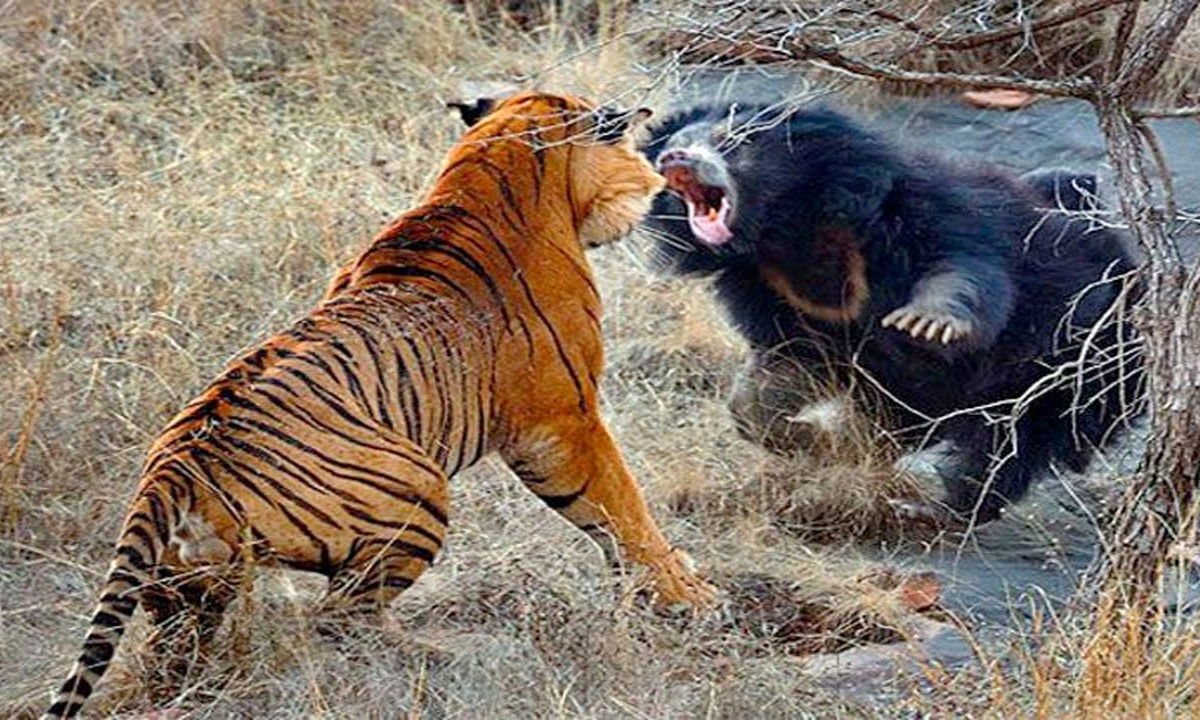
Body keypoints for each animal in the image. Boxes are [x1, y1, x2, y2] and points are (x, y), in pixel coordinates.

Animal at [42, 91, 716, 720]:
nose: (659, 187)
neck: (492, 164)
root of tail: (172, 466)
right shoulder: (564, 423)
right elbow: (624, 509)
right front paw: (689, 594)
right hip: (418, 488)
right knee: (340, 616)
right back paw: (447, 654)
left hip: (187, 585)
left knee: (181, 648)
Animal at [640, 101, 1142, 526]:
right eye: (668, 148)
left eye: (733, 141)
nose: (675, 159)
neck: (787, 232)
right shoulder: (776, 293)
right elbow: (780, 372)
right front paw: (817, 442)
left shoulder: (927, 210)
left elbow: (962, 270)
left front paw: (927, 323)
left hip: (1074, 367)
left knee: (1008, 447)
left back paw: (938, 507)